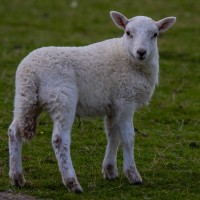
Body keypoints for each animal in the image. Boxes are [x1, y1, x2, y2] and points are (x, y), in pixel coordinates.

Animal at [7, 10, 176, 192]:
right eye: (128, 32)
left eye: (155, 34)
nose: (141, 52)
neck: (126, 56)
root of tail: (31, 71)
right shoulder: (126, 101)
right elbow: (128, 137)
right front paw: (133, 175)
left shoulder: (113, 105)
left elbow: (113, 135)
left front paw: (110, 171)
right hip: (62, 98)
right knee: (59, 139)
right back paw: (72, 182)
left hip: (25, 98)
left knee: (14, 131)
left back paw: (17, 178)